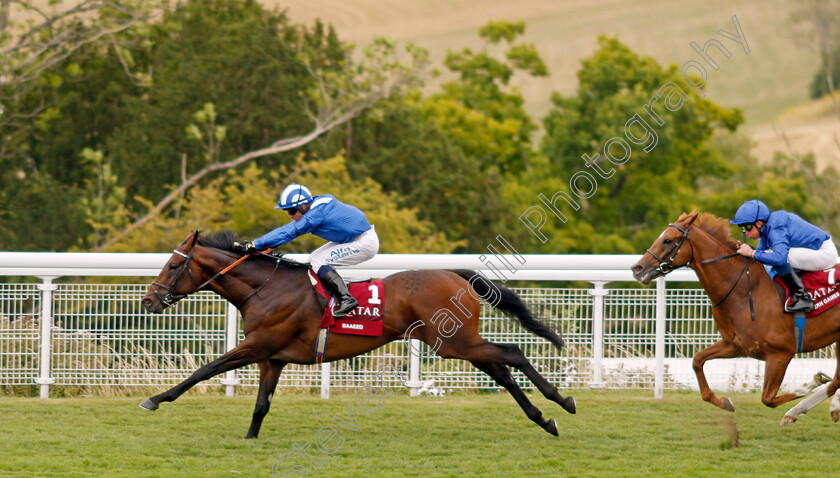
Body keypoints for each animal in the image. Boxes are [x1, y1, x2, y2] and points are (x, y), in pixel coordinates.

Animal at [139, 231, 576, 436]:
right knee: (501, 370)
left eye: (173, 266)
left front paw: (155, 399)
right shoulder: (272, 358)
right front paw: (249, 440)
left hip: (455, 343)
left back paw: (562, 401)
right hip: (459, 344)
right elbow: (261, 404)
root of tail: (453, 274)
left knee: (514, 352)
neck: (265, 287)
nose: (148, 299)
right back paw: (544, 419)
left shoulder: (256, 346)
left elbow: (204, 370)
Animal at [632, 210, 840, 422]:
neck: (742, 289)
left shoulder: (781, 353)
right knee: (836, 381)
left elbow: (768, 398)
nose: (637, 268)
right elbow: (698, 360)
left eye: (667, 240)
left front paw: (810, 384)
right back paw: (824, 409)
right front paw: (723, 402)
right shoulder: (736, 345)